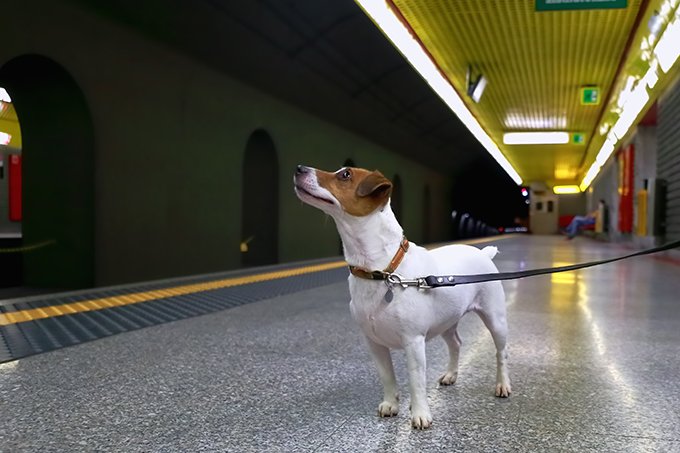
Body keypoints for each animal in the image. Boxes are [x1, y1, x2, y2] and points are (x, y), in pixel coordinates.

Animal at [292, 165, 510, 428]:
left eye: (345, 175)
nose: (299, 168)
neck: (382, 272)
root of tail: (484, 253)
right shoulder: (374, 343)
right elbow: (387, 376)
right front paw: (391, 404)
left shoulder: (413, 342)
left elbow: (416, 381)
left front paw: (420, 414)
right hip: (447, 321)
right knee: (456, 344)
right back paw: (451, 375)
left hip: (495, 320)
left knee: (501, 353)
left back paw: (503, 385)